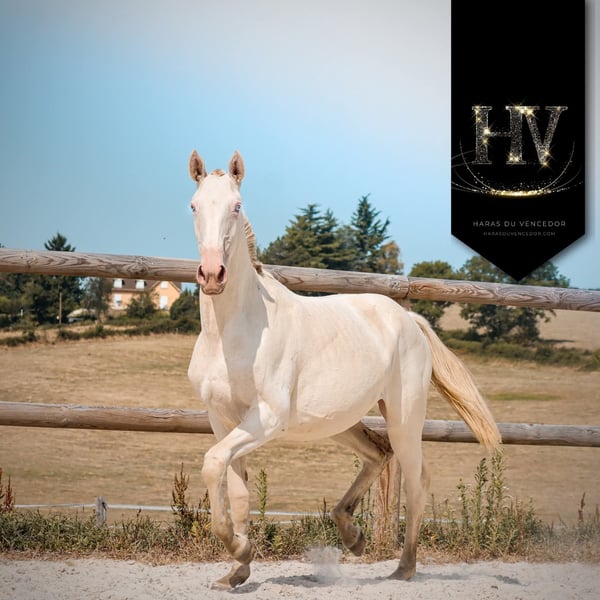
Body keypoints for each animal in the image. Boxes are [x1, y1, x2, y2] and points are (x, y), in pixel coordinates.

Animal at [186, 150, 502, 590]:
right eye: (194, 206)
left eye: (236, 206)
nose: (213, 275)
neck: (234, 333)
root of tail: (409, 321)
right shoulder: (222, 419)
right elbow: (234, 488)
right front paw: (237, 569)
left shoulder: (265, 418)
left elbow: (213, 464)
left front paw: (240, 552)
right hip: (339, 420)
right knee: (378, 453)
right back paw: (353, 536)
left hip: (404, 416)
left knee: (415, 482)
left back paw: (403, 567)